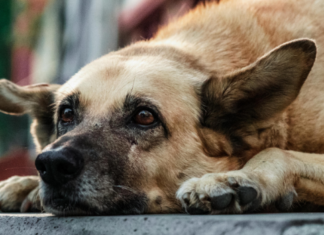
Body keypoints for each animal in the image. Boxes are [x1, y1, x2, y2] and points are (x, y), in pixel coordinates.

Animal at [0, 0, 324, 215]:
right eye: (66, 114)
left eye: (145, 117)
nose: (51, 164)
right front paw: (25, 184)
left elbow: (275, 152)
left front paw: (237, 178)